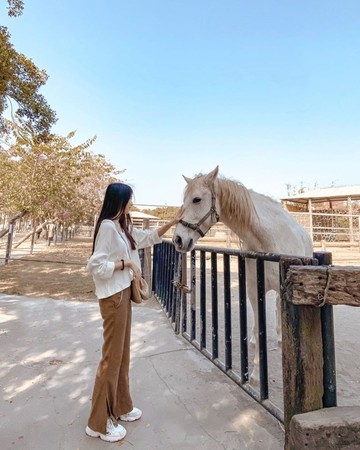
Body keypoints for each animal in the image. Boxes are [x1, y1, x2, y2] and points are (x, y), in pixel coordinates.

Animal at [172, 165, 312, 384]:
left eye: (196, 199)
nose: (178, 240)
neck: (268, 241)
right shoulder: (254, 291)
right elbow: (258, 329)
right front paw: (255, 374)